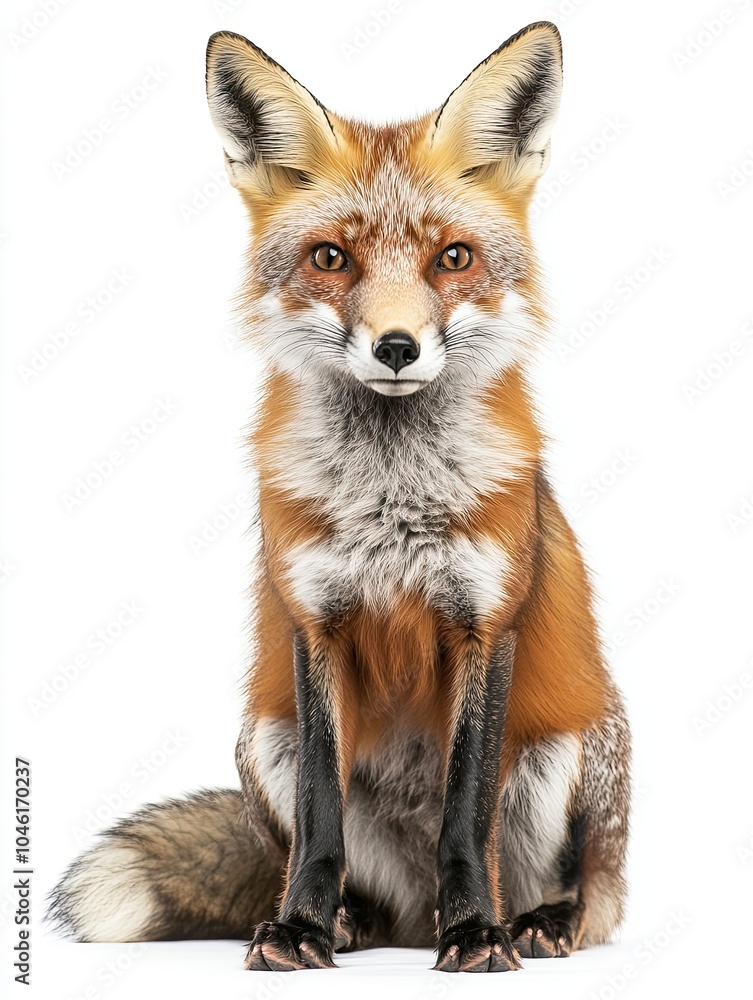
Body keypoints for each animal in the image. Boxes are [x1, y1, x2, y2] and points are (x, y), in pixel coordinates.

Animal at [48, 22, 631, 974]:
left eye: (452, 258)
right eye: (331, 258)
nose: (396, 346)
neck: (390, 503)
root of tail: (412, 915)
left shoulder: (485, 624)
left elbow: (467, 817)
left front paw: (477, 934)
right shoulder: (312, 624)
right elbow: (319, 819)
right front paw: (300, 927)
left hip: (571, 749)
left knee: (596, 895)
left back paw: (531, 921)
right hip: (261, 736)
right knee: (324, 863)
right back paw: (348, 920)